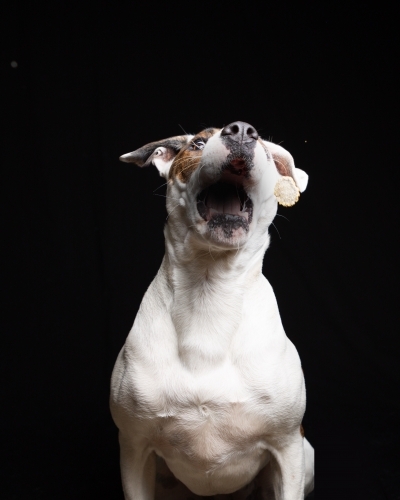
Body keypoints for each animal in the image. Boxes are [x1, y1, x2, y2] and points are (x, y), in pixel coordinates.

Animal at [111, 122, 314, 500]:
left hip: (306, 455)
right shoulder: (133, 448)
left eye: (267, 153)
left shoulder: (287, 448)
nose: (242, 131)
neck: (211, 290)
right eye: (197, 143)